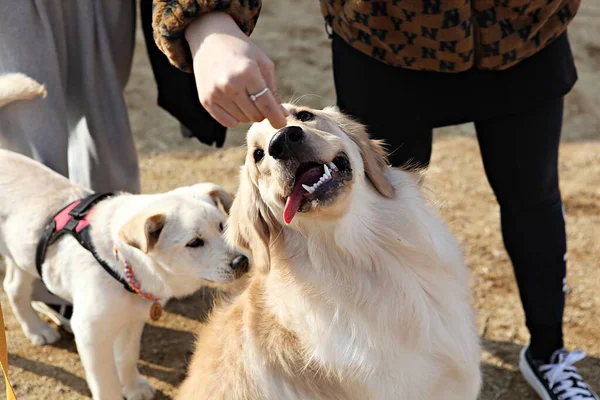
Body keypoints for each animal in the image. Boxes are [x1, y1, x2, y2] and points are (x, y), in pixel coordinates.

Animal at [0, 73, 248, 398]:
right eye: (194, 243)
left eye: (222, 227)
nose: (242, 262)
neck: (122, 265)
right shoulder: (90, 334)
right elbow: (106, 383)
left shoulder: (132, 323)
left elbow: (128, 358)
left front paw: (134, 387)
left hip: (24, 253)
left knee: (13, 287)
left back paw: (36, 330)